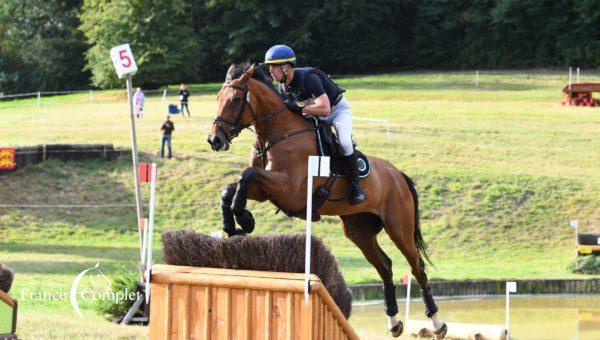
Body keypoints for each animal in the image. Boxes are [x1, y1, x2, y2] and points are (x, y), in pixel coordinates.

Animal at [206, 63, 446, 338]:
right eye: (218, 98)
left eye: (236, 100)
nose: (214, 140)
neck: (278, 134)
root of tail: (398, 175)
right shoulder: (266, 190)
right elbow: (233, 186)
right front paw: (232, 223)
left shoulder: (288, 188)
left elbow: (247, 174)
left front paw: (244, 219)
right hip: (358, 230)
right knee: (384, 265)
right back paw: (394, 322)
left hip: (399, 227)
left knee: (417, 267)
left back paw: (437, 323)